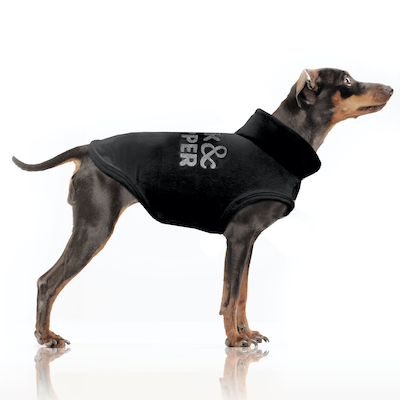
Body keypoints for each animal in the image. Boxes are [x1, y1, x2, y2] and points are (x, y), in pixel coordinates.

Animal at [13, 68, 393, 348]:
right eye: (347, 80)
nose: (390, 88)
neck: (277, 147)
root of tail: (87, 150)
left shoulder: (248, 241)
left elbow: (241, 293)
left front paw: (247, 333)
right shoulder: (238, 237)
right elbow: (231, 295)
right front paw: (234, 340)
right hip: (95, 227)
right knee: (47, 281)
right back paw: (45, 337)